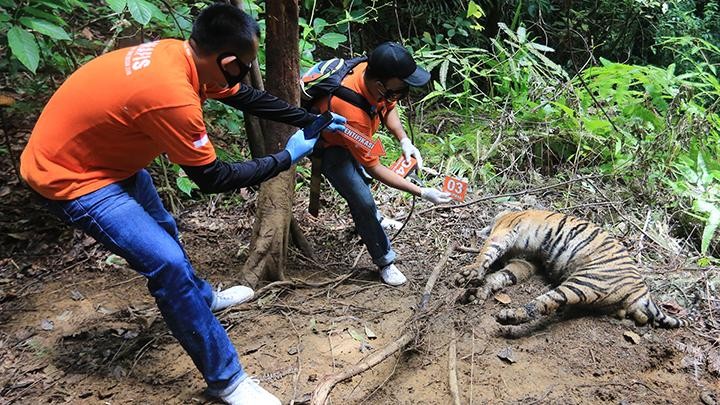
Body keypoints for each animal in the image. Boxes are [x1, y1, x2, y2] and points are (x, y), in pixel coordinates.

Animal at [456, 210, 688, 326]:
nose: (479, 231)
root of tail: (643, 291)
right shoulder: (524, 262)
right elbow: (499, 276)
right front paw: (479, 292)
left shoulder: (506, 229)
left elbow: (487, 252)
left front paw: (470, 273)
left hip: (584, 282)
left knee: (542, 304)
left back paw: (510, 316)